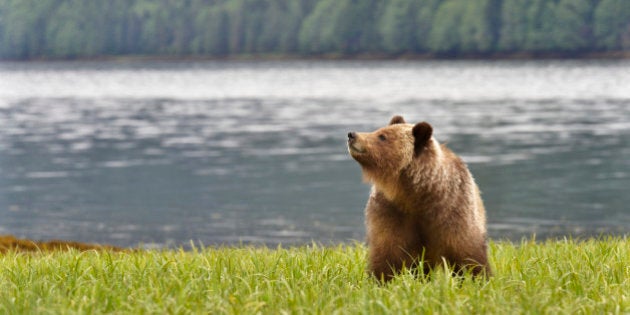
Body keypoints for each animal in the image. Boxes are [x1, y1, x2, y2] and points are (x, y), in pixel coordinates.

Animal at [348, 115, 492, 282]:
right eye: (378, 131)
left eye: (382, 136)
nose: (352, 134)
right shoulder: (391, 211)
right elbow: (388, 250)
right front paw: (381, 278)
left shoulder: (453, 207)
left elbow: (466, 249)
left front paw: (478, 277)